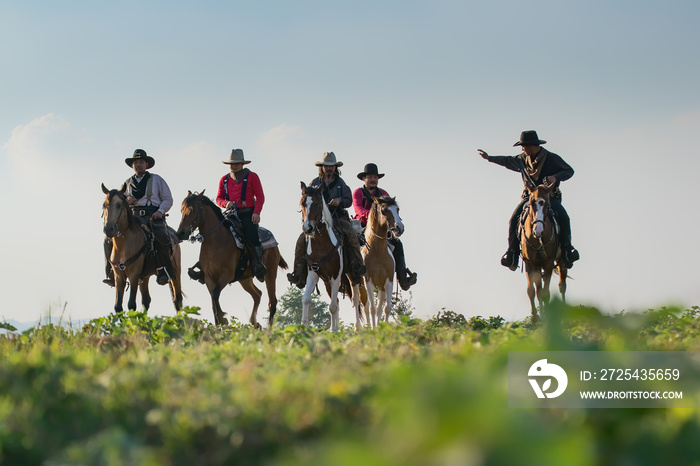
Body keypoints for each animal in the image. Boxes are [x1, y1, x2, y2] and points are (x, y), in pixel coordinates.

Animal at [102, 183, 185, 314]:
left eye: (119, 205)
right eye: (104, 205)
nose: (108, 229)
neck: (123, 245)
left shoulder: (133, 275)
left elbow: (131, 304)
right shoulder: (119, 276)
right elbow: (118, 306)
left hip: (175, 271)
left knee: (178, 300)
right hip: (145, 277)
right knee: (146, 300)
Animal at [176, 189, 288, 328]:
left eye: (192, 210)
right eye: (182, 210)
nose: (180, 233)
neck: (216, 242)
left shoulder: (226, 275)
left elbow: (216, 294)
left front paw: (223, 319)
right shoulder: (209, 278)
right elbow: (213, 300)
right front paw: (218, 324)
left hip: (271, 274)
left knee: (272, 302)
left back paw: (268, 328)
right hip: (244, 279)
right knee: (257, 295)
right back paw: (254, 323)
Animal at [298, 181, 364, 332]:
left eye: (318, 203)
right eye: (303, 203)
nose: (308, 228)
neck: (322, 244)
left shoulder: (336, 276)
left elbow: (333, 306)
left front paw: (334, 331)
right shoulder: (313, 274)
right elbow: (306, 299)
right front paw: (303, 327)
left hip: (351, 275)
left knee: (355, 300)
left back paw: (357, 327)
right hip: (327, 281)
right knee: (338, 301)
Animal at [360, 196, 404, 328]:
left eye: (397, 209)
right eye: (384, 211)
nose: (400, 228)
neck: (378, 251)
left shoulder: (388, 281)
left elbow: (386, 308)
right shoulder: (368, 281)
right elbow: (372, 309)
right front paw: (373, 329)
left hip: (381, 287)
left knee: (378, 308)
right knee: (364, 306)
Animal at [524, 182, 568, 320]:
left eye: (547, 205)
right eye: (531, 203)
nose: (538, 231)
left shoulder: (548, 263)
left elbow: (545, 293)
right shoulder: (529, 263)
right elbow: (532, 291)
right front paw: (535, 317)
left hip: (561, 261)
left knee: (562, 285)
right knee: (538, 289)